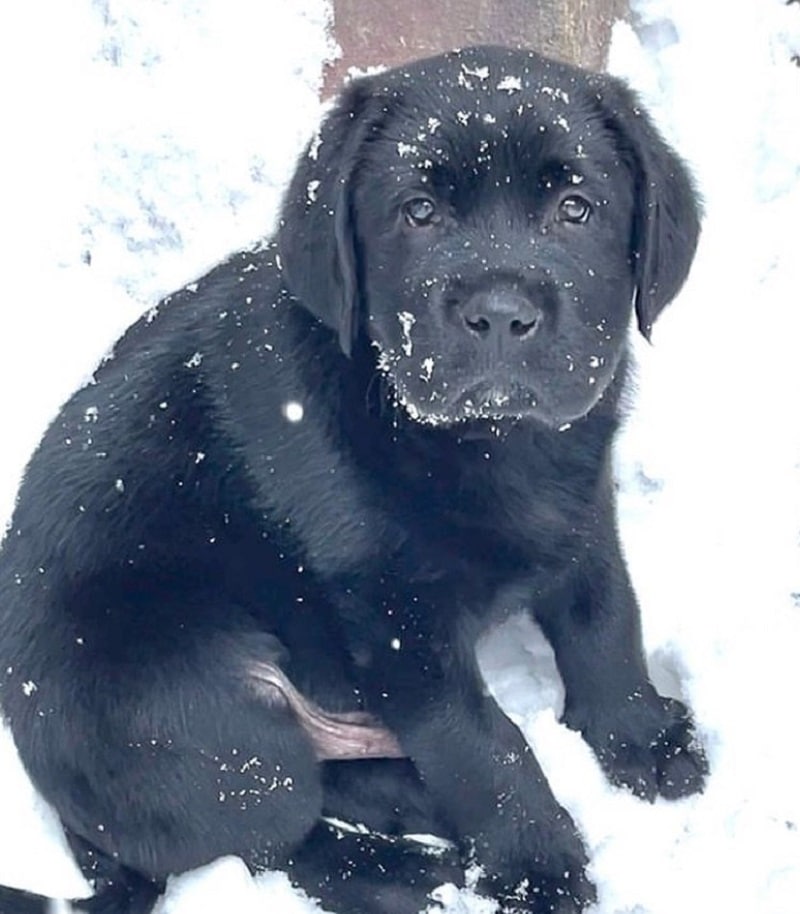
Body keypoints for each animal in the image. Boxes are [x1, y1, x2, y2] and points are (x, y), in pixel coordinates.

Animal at [0, 44, 708, 912]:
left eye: (576, 208)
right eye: (419, 211)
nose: (500, 314)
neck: (491, 446)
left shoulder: (583, 514)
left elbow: (606, 620)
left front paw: (640, 736)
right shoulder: (396, 623)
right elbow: (484, 745)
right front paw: (539, 869)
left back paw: (416, 813)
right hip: (195, 709)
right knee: (274, 839)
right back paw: (404, 872)